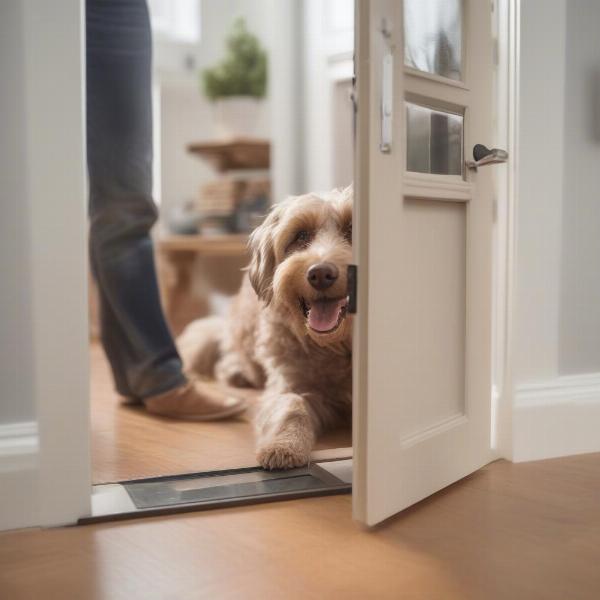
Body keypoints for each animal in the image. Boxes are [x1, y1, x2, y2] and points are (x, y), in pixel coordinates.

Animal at [176, 188, 354, 468]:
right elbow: (292, 406)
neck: (339, 345)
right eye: (301, 235)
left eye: (352, 228)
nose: (320, 274)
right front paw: (283, 445)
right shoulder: (289, 383)